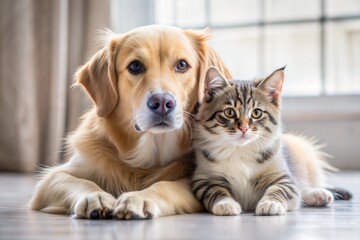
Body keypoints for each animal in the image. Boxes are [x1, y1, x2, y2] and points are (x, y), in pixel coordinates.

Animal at [31, 24, 233, 219]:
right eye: (135, 66)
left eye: (182, 65)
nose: (162, 103)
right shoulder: (53, 178)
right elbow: (79, 181)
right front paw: (95, 197)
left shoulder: (194, 181)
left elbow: (165, 186)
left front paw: (139, 198)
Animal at [191, 66, 352, 216]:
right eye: (229, 112)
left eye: (256, 113)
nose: (243, 128)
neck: (240, 150)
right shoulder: (204, 180)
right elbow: (217, 191)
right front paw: (225, 204)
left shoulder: (282, 177)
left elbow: (281, 189)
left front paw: (270, 203)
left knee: (300, 188)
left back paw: (319, 194)